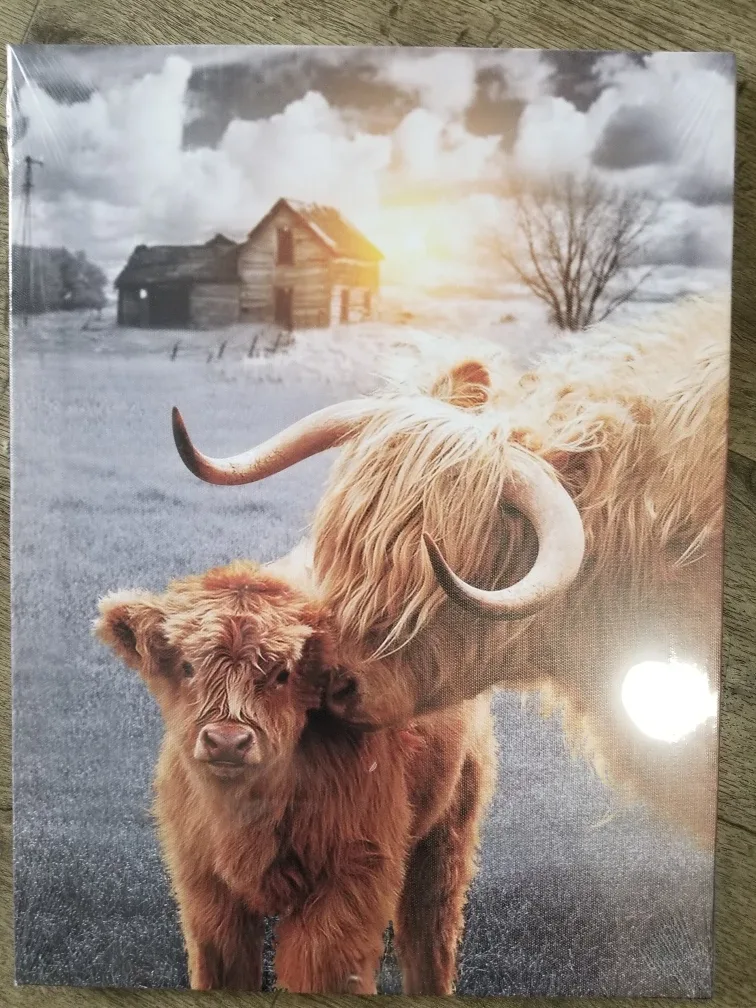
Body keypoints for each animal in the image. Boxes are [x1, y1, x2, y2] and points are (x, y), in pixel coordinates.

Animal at [95, 560, 496, 993]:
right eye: (188, 666)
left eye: (282, 673)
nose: (227, 741)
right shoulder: (205, 887)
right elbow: (223, 968)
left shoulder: (350, 878)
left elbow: (318, 972)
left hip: (448, 830)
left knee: (429, 931)